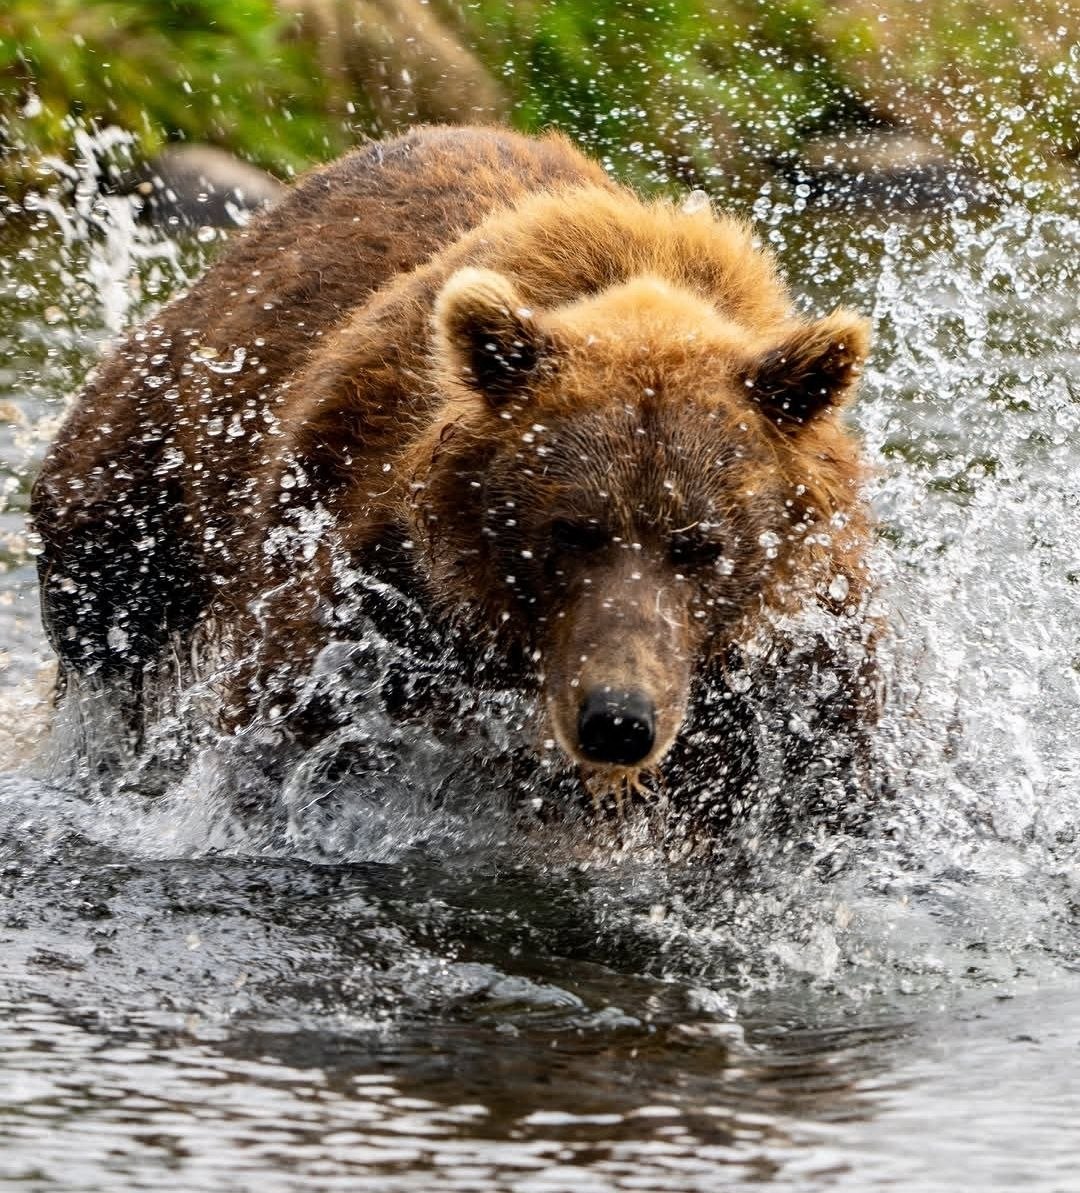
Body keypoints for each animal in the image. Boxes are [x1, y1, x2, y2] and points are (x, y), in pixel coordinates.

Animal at [31, 125, 876, 821]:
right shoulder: (372, 583)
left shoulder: (793, 662)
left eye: (702, 544)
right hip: (159, 447)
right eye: (572, 531)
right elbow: (287, 719)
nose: (618, 720)